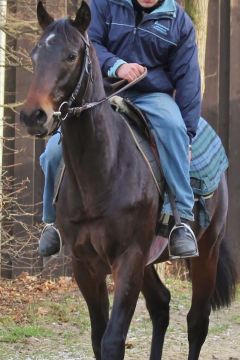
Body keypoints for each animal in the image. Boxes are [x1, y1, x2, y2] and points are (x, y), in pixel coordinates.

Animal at [19, 1, 237, 358]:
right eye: (35, 54)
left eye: (71, 55)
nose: (33, 116)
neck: (103, 171)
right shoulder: (85, 265)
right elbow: (98, 337)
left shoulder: (129, 258)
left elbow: (113, 339)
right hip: (151, 261)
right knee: (161, 306)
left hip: (207, 250)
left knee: (197, 322)